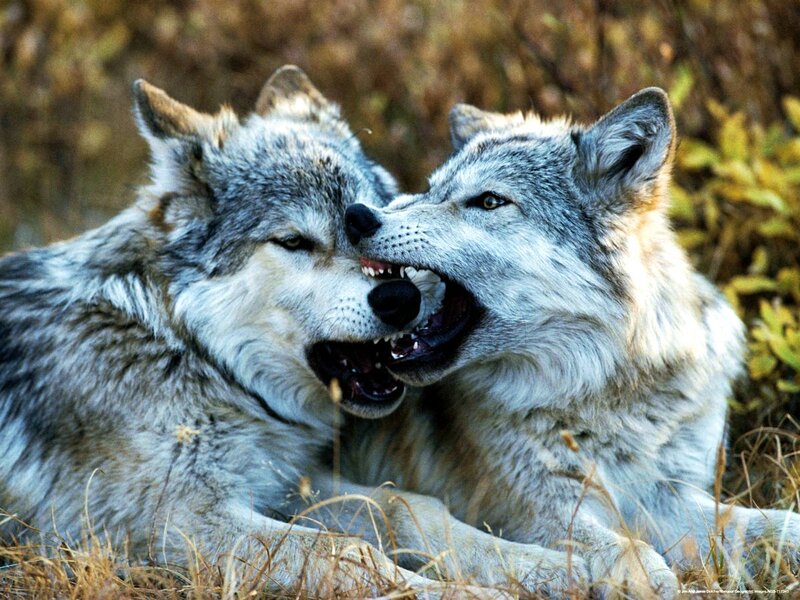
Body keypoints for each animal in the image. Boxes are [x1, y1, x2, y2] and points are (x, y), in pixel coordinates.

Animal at [0, 66, 584, 597]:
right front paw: (474, 593)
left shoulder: (277, 480)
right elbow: (347, 551)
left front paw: (549, 565)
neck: (187, 350)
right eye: (294, 242)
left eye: (367, 219)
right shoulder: (177, 520)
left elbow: (404, 506)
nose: (401, 298)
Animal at [343, 88, 800, 597]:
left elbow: (772, 525)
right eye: (430, 190)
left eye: (489, 201)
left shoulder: (662, 492)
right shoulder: (532, 505)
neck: (605, 393)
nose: (357, 216)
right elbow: (628, 550)